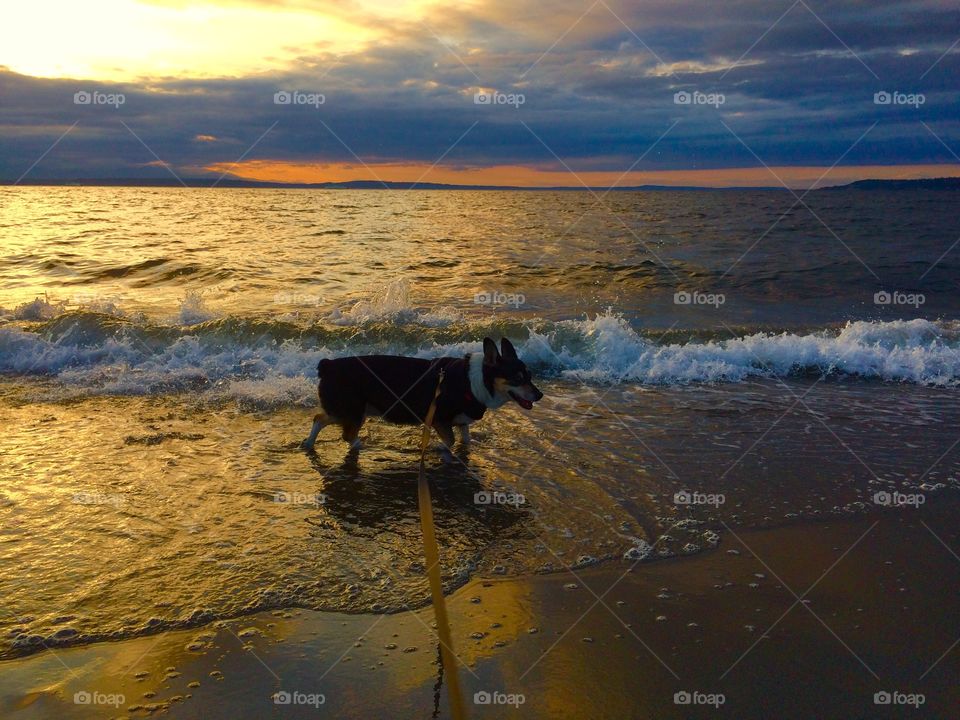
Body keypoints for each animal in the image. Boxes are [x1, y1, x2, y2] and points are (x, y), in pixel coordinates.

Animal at [302, 338, 540, 456]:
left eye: (529, 375)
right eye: (517, 378)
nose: (540, 394)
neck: (475, 381)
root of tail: (328, 366)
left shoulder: (461, 421)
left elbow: (465, 438)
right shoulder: (439, 419)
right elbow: (450, 440)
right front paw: (439, 448)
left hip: (347, 411)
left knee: (319, 418)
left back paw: (309, 443)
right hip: (353, 411)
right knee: (346, 434)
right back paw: (361, 445)